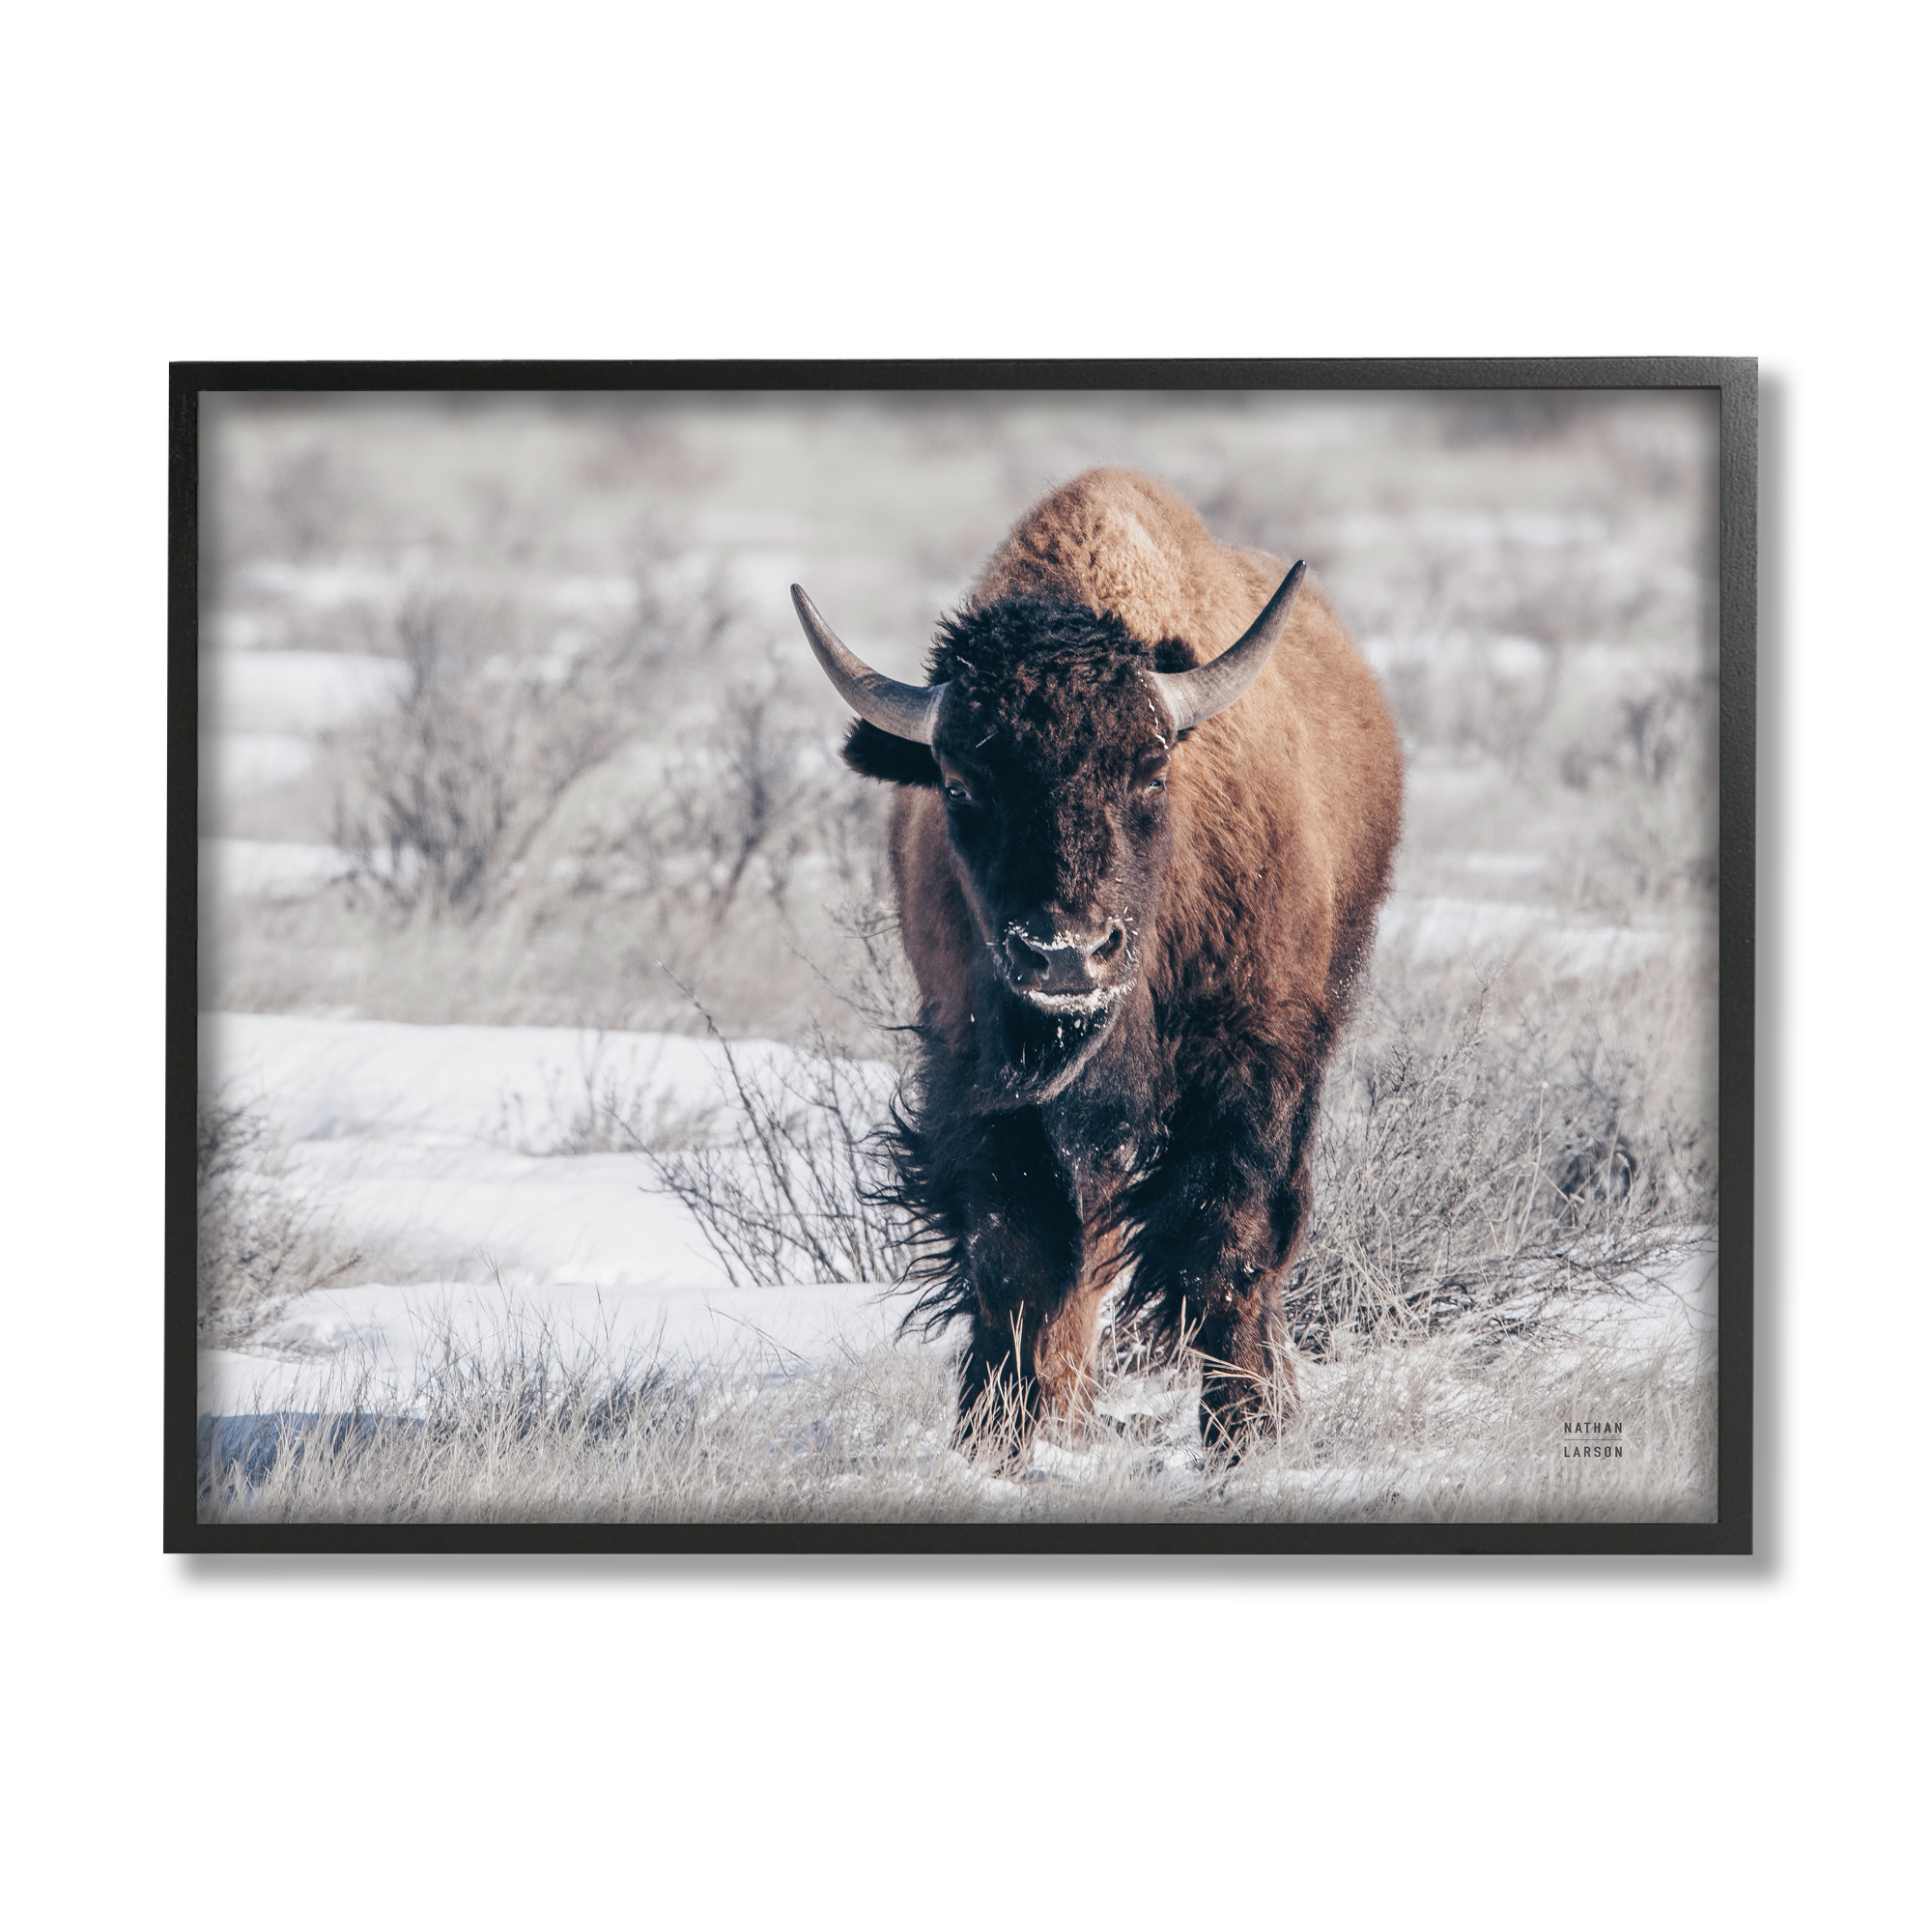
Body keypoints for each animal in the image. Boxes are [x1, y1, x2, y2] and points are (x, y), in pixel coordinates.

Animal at [794, 469, 1403, 1451]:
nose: (1066, 956)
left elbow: (1228, 1241)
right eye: (958, 787)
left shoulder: (1253, 1058)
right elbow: (1015, 1254)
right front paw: (994, 1435)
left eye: (1151, 774)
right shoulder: (977, 1073)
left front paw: (1244, 1434)